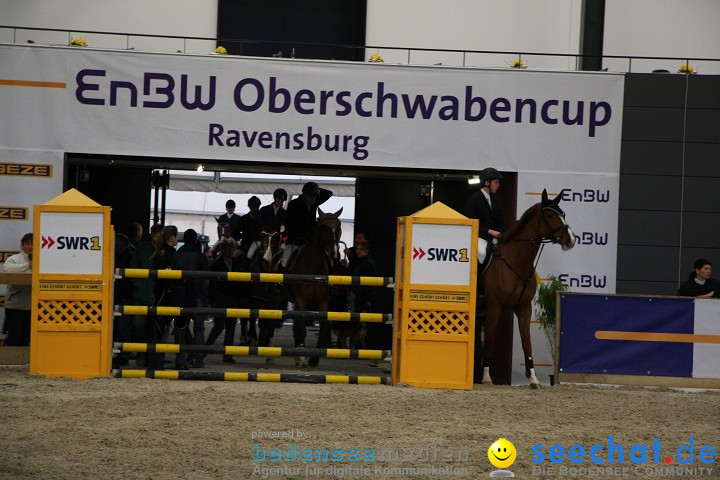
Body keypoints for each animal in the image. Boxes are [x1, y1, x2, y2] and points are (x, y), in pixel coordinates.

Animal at [286, 207, 344, 368]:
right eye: (324, 228)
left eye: (338, 227)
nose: (335, 254)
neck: (313, 269)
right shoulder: (300, 301)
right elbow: (301, 329)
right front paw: (302, 358)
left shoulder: (322, 303)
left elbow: (324, 329)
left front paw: (314, 358)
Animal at [480, 189, 576, 388]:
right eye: (549, 215)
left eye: (563, 214)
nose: (570, 240)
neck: (517, 262)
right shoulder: (494, 306)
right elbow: (490, 339)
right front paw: (486, 377)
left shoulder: (524, 308)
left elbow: (527, 342)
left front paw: (533, 378)